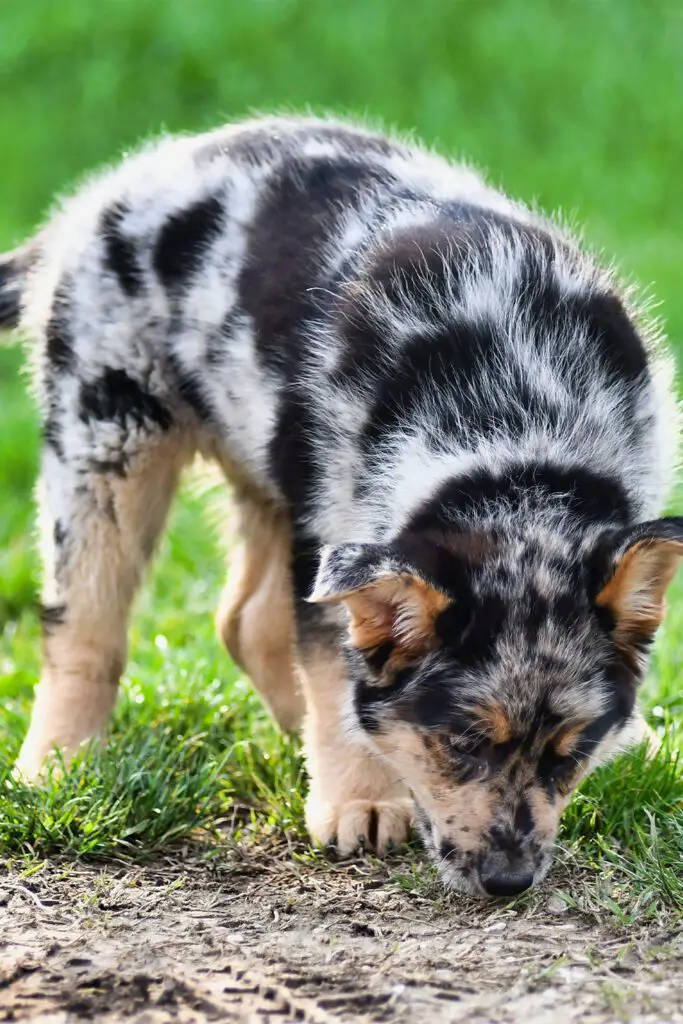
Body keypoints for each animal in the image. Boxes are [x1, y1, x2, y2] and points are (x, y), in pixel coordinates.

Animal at [2, 117, 679, 897]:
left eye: (570, 751)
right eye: (460, 743)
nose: (508, 883)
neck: (514, 443)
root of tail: (94, 203)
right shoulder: (335, 529)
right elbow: (334, 669)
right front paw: (361, 800)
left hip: (264, 460)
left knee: (245, 621)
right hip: (109, 438)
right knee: (85, 626)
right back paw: (58, 769)